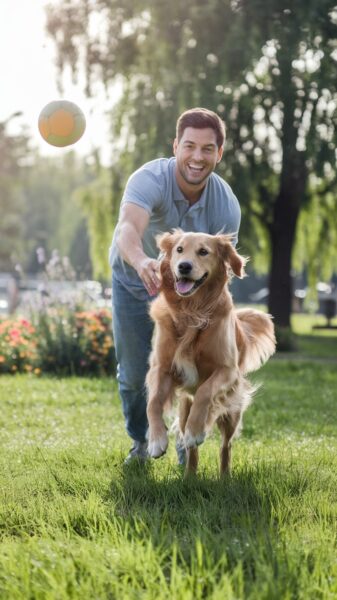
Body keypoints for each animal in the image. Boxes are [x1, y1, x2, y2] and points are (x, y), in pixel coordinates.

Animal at [146, 231, 274, 478]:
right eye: (179, 249)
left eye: (203, 252)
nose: (184, 266)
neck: (191, 311)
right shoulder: (161, 368)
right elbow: (153, 401)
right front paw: (156, 440)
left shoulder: (228, 370)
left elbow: (205, 391)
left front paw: (197, 431)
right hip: (184, 409)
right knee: (190, 448)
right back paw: (189, 477)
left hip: (232, 412)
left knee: (226, 446)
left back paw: (224, 477)